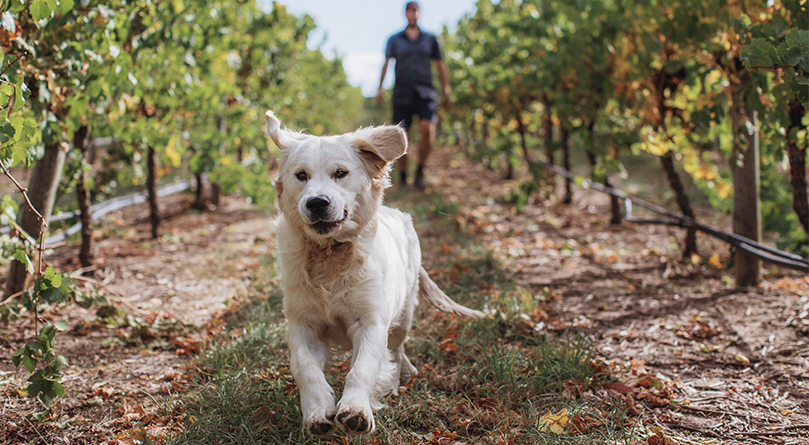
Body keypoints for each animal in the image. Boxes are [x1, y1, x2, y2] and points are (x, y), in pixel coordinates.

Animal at [266, 109, 482, 436]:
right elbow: (305, 368)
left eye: (340, 173)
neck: (330, 254)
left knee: (397, 347)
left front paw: (356, 410)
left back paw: (401, 375)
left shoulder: (370, 321)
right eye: (301, 175)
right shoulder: (303, 323)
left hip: (403, 316)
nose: (316, 203)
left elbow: (363, 368)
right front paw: (317, 412)